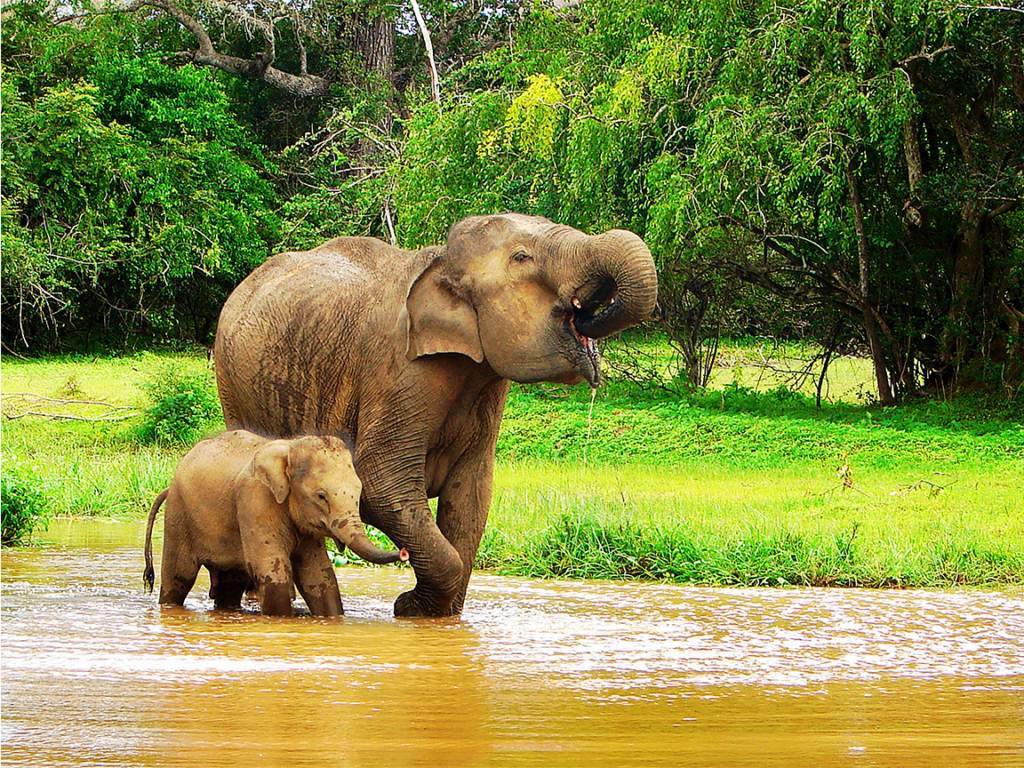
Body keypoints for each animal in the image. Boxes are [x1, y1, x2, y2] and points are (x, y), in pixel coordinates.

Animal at [145, 430, 407, 618]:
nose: (404, 553)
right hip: (178, 515)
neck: (291, 448)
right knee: (179, 576)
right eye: (321, 496)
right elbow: (272, 570)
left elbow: (318, 574)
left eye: (358, 493)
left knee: (230, 584)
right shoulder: (255, 500)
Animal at [215, 214, 655, 618]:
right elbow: (380, 482)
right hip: (231, 382)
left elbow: (471, 496)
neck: (441, 263)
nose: (588, 315)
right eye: (521, 257)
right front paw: (410, 608)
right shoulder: (397, 370)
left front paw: (432, 614)